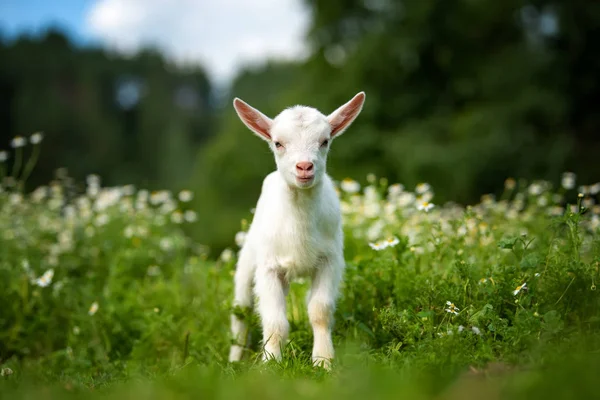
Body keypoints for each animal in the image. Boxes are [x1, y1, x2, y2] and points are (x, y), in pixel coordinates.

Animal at [227, 90, 364, 368]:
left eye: (325, 141)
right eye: (278, 143)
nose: (304, 167)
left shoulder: (330, 260)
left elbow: (319, 311)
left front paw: (323, 361)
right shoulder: (268, 267)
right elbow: (275, 322)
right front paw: (270, 364)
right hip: (249, 259)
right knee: (241, 310)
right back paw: (234, 360)